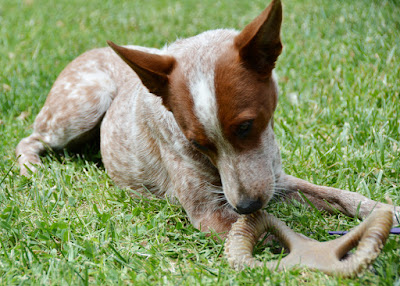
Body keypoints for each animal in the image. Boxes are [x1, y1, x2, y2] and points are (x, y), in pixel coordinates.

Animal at [14, 0, 396, 235]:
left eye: (247, 126)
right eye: (196, 143)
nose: (246, 205)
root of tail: (89, 51)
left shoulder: (275, 180)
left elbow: (341, 196)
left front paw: (382, 210)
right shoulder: (211, 211)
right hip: (86, 103)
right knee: (29, 138)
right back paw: (32, 168)